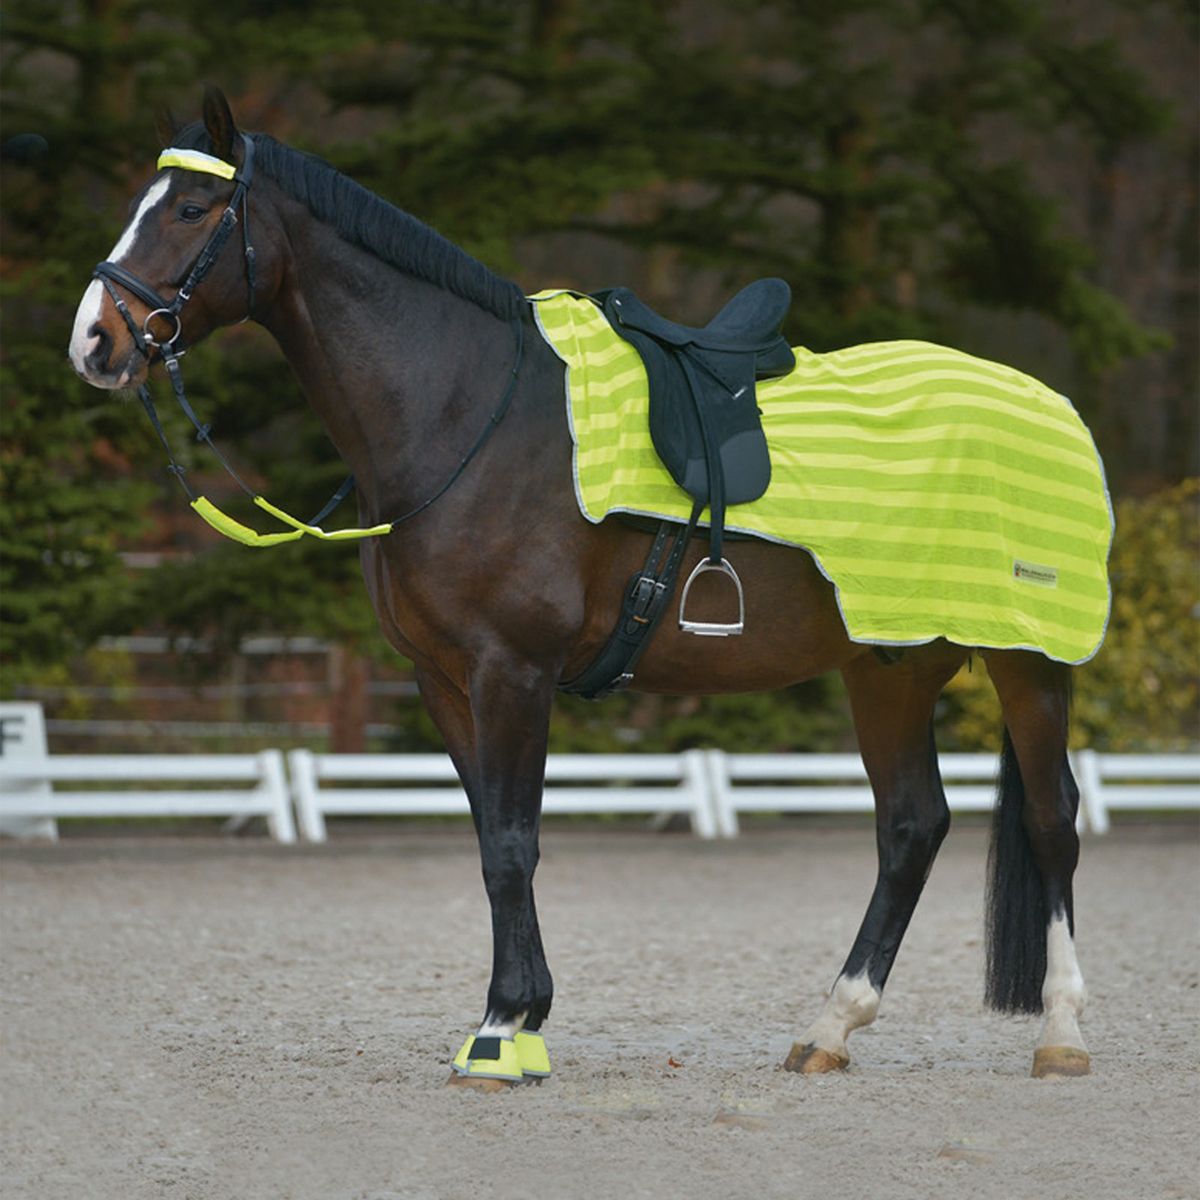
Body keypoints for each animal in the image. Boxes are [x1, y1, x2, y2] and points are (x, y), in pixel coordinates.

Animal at [68, 87, 1099, 1089]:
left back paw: (1061, 1035)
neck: (466, 414)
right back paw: (830, 1029)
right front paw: (521, 1020)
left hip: (1027, 661)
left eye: (192, 208)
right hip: (889, 665)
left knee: (1052, 821)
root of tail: (1048, 403)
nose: (95, 341)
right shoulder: (446, 680)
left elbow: (514, 842)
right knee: (911, 827)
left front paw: (500, 1032)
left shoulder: (513, 670)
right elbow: (494, 840)